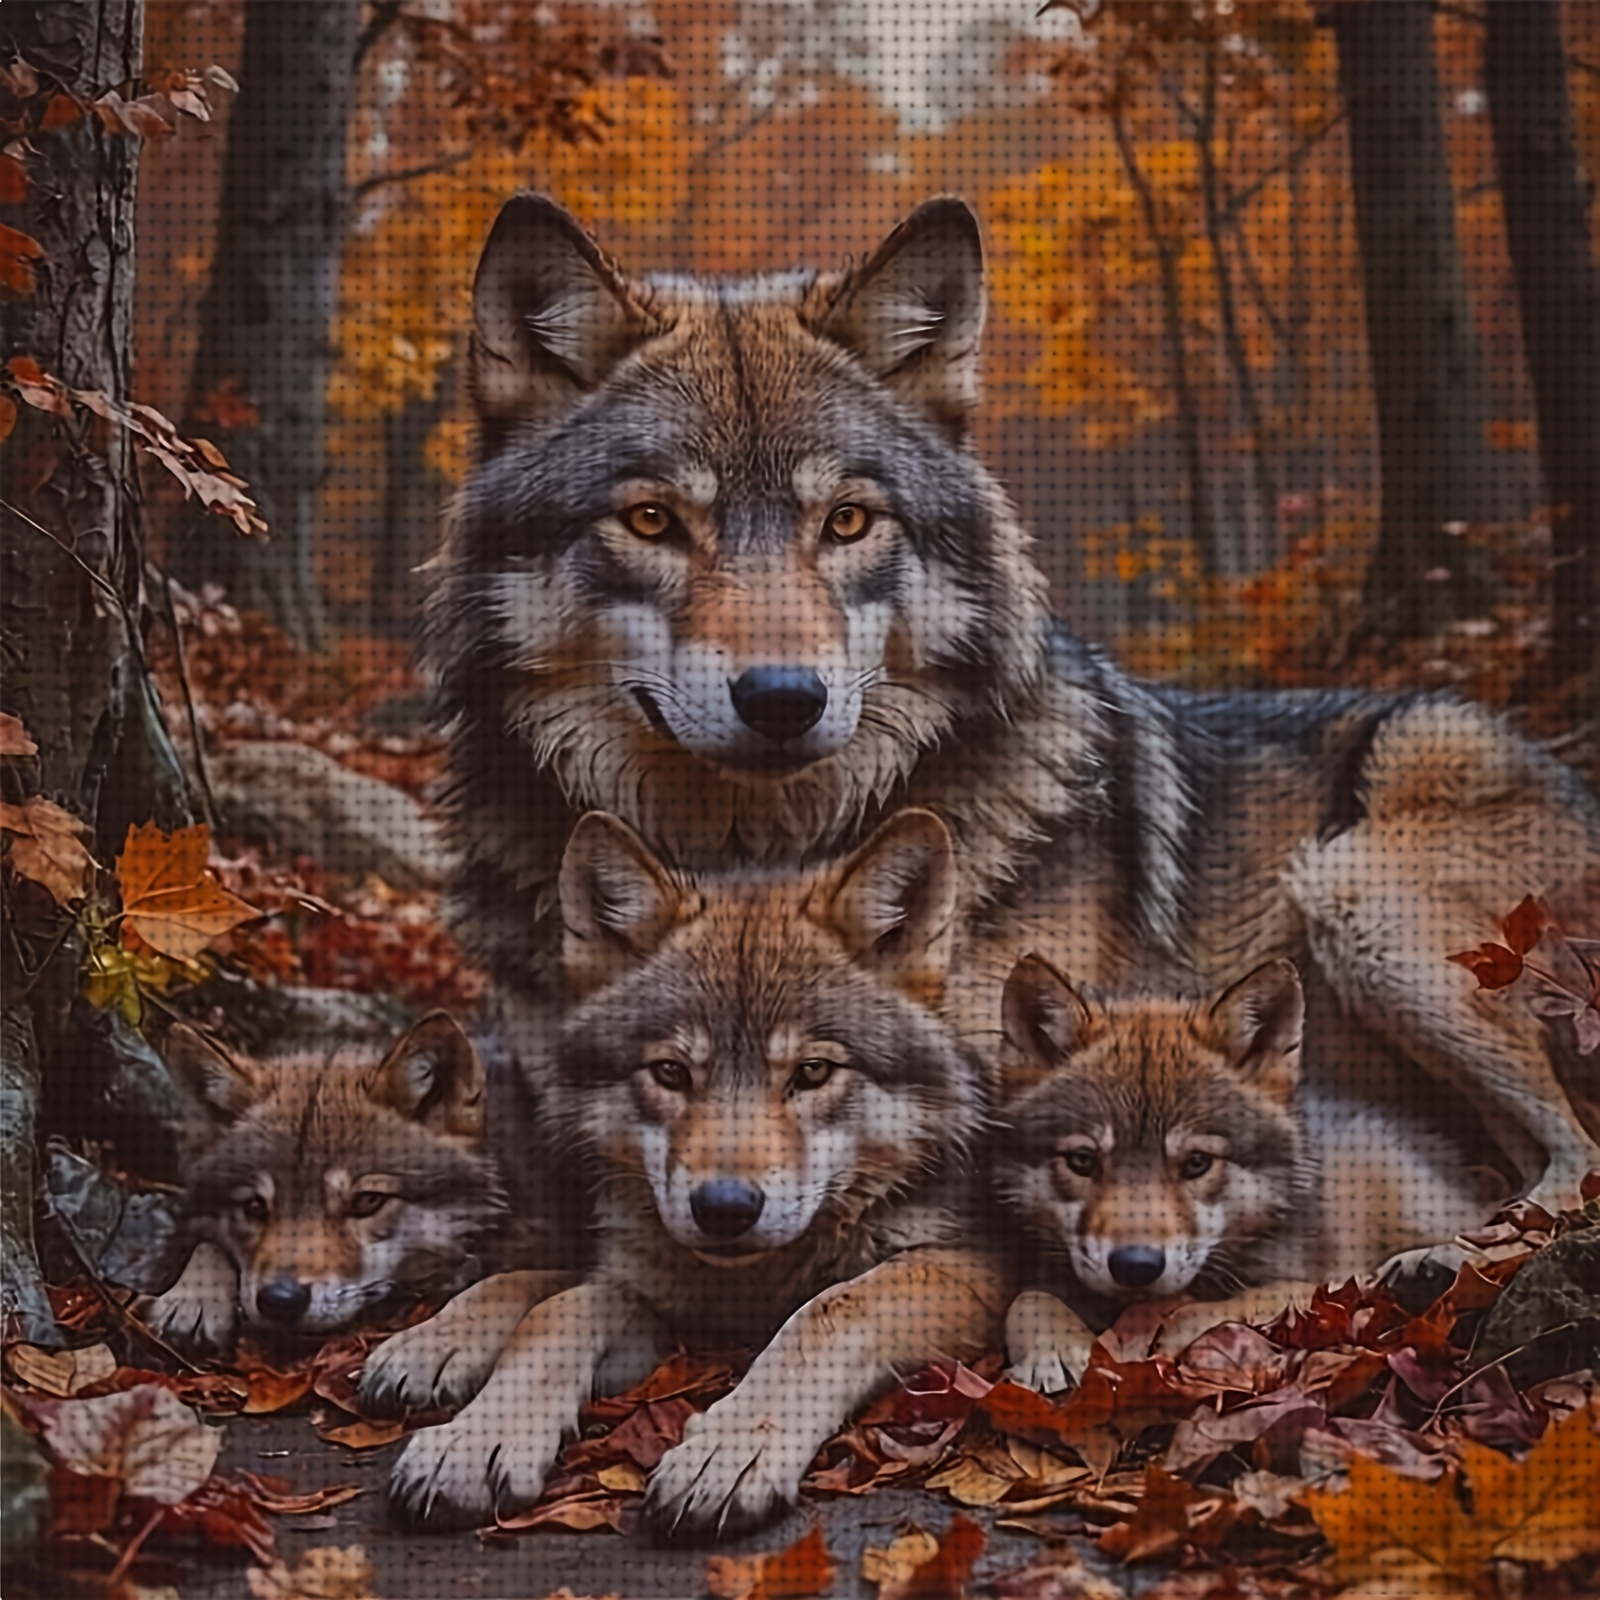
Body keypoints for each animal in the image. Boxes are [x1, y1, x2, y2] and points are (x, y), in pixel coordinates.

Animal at [368, 808, 1006, 1538]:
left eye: (813, 1072)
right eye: (670, 1072)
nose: (724, 1207)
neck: (752, 1285)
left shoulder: (971, 1265)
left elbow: (830, 1310)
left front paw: (729, 1450)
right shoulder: (649, 1292)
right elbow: (555, 1306)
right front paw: (473, 1435)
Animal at [427, 190, 1600, 1217]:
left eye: (847, 521)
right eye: (653, 520)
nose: (785, 699)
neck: (751, 862)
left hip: (1356, 881)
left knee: (1575, 1159)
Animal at [994, 954, 1507, 1393]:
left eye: (1197, 1163)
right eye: (1082, 1162)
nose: (1136, 1266)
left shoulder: (1318, 1286)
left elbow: (1204, 1311)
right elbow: (1025, 1301)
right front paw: (1055, 1353)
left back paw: (1429, 1261)